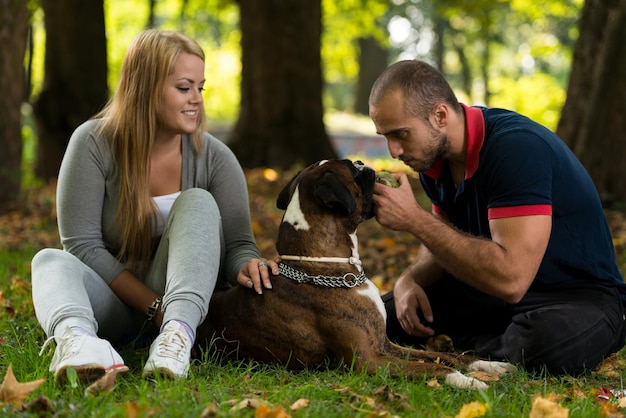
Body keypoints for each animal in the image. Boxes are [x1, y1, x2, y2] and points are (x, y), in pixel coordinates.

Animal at [197, 159, 516, 388]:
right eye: (352, 168)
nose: (364, 162)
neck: (321, 266)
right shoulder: (367, 361)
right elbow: (429, 367)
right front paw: (467, 382)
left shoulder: (384, 343)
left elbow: (441, 356)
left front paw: (485, 366)